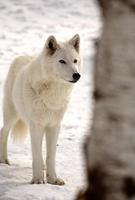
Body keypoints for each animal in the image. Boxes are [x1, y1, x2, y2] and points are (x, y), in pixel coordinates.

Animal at [0, 34, 81, 184]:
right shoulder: (36, 125)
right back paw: (3, 160)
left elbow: (50, 156)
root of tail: (23, 56)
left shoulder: (54, 125)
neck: (53, 94)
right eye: (62, 61)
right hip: (12, 116)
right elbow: (36, 154)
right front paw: (38, 179)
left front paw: (53, 179)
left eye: (75, 61)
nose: (77, 75)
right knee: (3, 131)